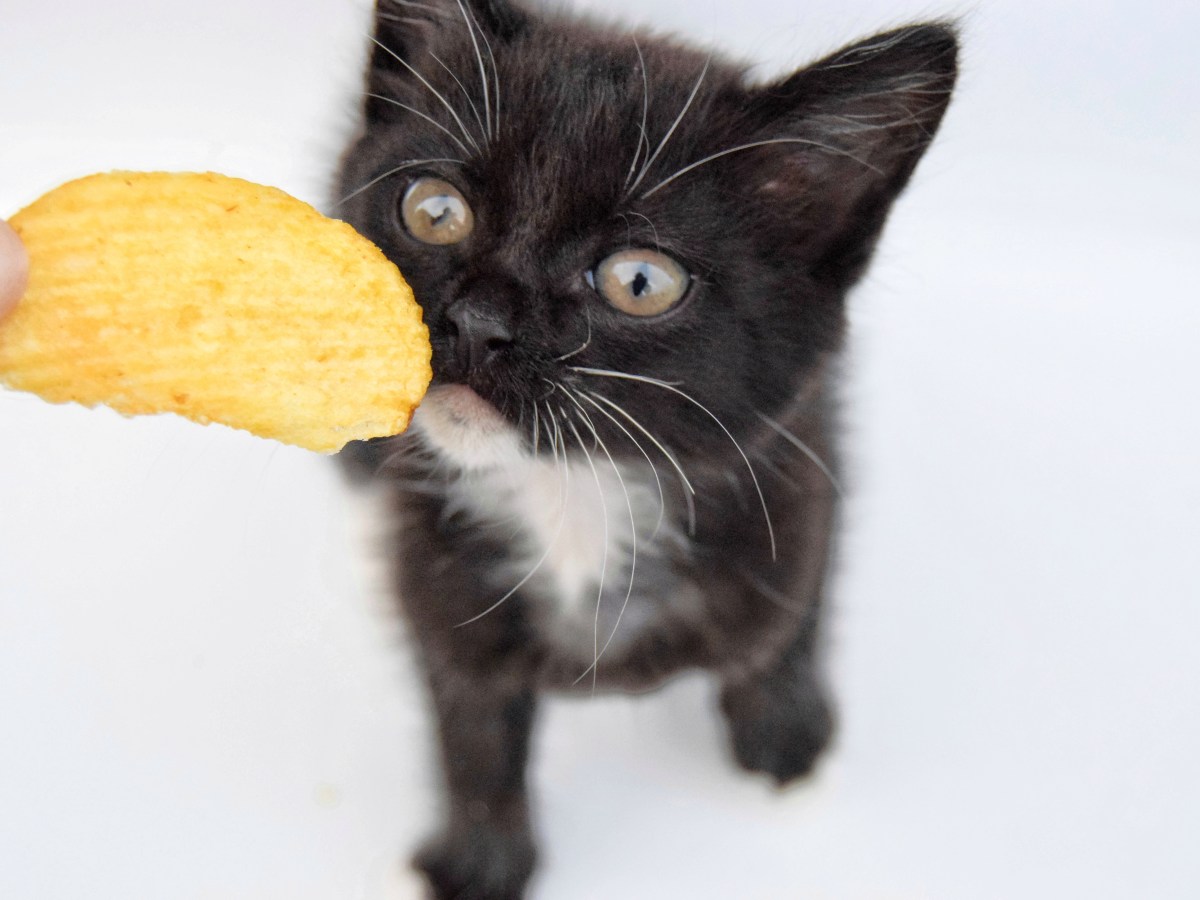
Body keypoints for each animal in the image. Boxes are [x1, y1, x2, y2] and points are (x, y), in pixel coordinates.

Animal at [336, 1, 955, 897]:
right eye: (434, 210)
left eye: (640, 282)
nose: (478, 324)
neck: (575, 494)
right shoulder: (432, 565)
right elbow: (472, 715)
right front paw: (482, 856)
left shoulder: (803, 455)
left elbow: (792, 605)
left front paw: (784, 732)